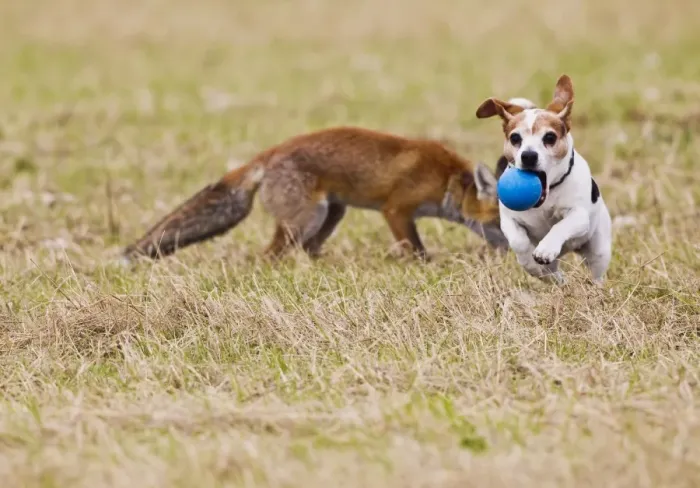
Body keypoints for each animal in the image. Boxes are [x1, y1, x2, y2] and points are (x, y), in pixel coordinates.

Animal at [121, 126, 509, 263]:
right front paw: (426, 265)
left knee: (307, 248)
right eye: (503, 224)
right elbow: (416, 248)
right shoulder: (396, 209)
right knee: (270, 254)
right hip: (307, 217)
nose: (516, 254)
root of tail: (271, 152)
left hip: (331, 213)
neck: (447, 179)